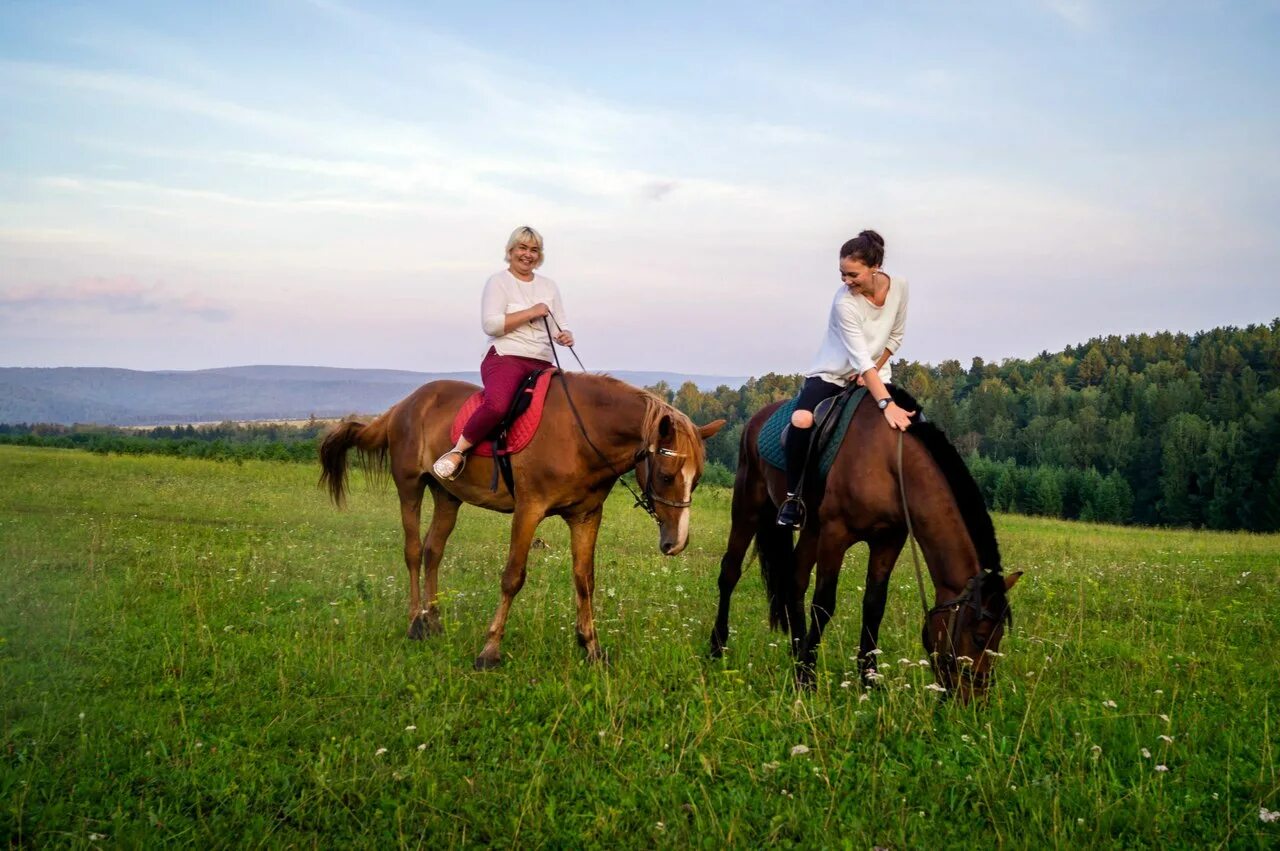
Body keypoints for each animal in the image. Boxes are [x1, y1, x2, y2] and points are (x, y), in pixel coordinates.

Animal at [318, 376, 727, 665]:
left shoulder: (585, 516)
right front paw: (489, 650)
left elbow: (585, 579)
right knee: (414, 551)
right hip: (409, 487)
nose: (676, 542)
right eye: (667, 476)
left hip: (447, 496)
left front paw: (591, 647)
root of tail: (404, 405)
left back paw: (433, 622)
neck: (581, 433)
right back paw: (415, 623)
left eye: (697, 478)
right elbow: (513, 577)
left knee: (434, 551)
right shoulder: (529, 510)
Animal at [711, 389, 1018, 701]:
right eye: (979, 637)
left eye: (999, 638)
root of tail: (757, 419)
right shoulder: (835, 534)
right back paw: (717, 646)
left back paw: (797, 650)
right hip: (748, 506)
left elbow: (874, 605)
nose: (974, 700)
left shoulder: (888, 539)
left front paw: (868, 678)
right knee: (730, 572)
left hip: (811, 530)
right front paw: (807, 679)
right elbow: (823, 604)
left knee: (794, 580)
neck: (891, 462)